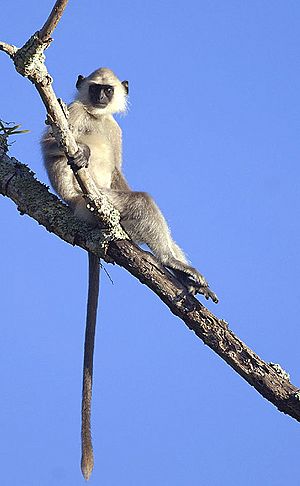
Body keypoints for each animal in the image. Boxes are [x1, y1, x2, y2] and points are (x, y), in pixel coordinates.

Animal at [40, 68, 218, 482]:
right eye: (95, 89)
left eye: (109, 90)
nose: (103, 98)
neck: (96, 117)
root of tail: (78, 213)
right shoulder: (71, 112)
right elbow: (51, 143)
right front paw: (79, 152)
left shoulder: (116, 131)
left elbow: (119, 167)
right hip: (94, 203)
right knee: (140, 202)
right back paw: (173, 263)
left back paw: (180, 270)